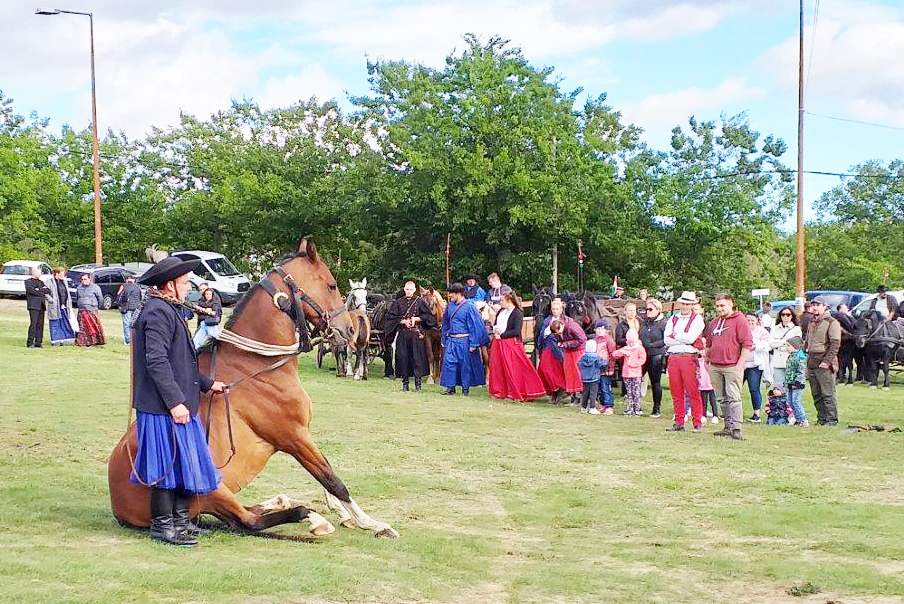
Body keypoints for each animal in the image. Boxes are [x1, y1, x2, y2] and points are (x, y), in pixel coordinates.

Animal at [108, 239, 400, 538]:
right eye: (331, 285)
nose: (351, 330)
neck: (256, 366)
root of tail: (118, 506)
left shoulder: (302, 435)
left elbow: (324, 473)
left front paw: (344, 514)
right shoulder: (294, 437)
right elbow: (331, 479)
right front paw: (372, 523)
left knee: (246, 514)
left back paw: (284, 501)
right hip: (215, 489)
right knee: (247, 520)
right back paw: (309, 516)